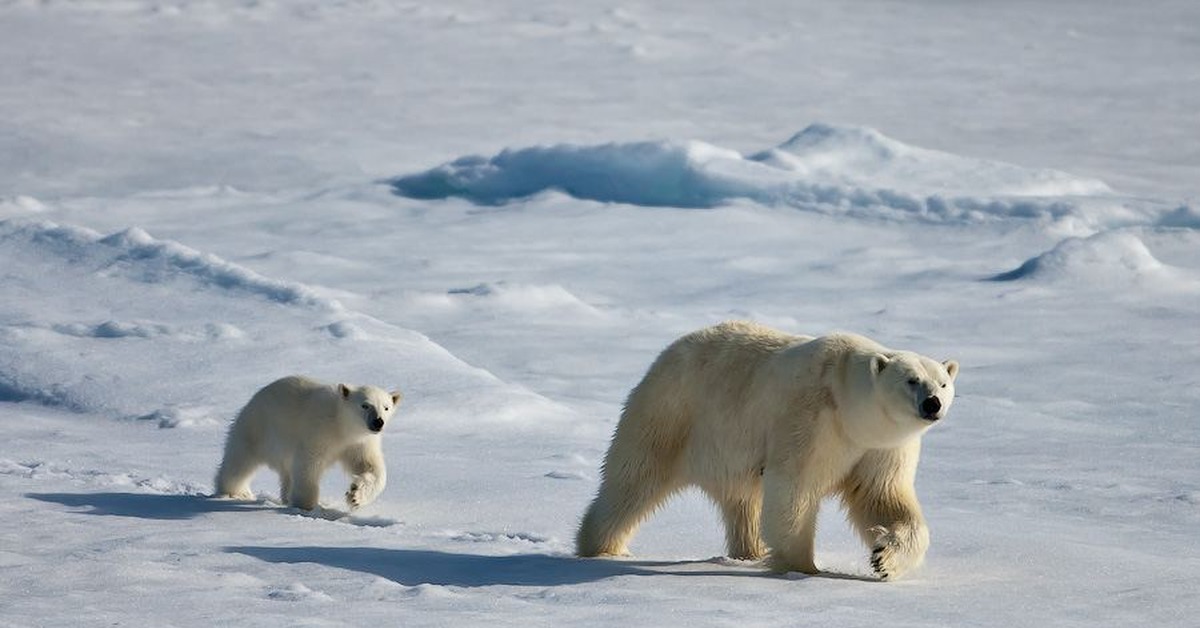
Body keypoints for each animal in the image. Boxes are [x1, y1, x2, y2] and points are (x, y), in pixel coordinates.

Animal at [214, 377, 403, 513]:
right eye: (365, 405)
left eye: (386, 407)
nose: (378, 422)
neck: (341, 424)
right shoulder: (319, 432)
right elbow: (309, 465)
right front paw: (306, 506)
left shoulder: (360, 442)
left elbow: (372, 468)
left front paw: (356, 496)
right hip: (255, 429)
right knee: (238, 462)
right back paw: (237, 492)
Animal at [576, 321, 960, 583]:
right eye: (911, 380)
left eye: (943, 382)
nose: (932, 403)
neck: (848, 405)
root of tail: (666, 354)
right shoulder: (810, 419)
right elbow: (795, 487)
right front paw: (803, 568)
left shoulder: (880, 446)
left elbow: (884, 497)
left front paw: (884, 558)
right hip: (672, 415)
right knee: (633, 481)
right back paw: (601, 547)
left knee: (742, 500)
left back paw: (749, 552)